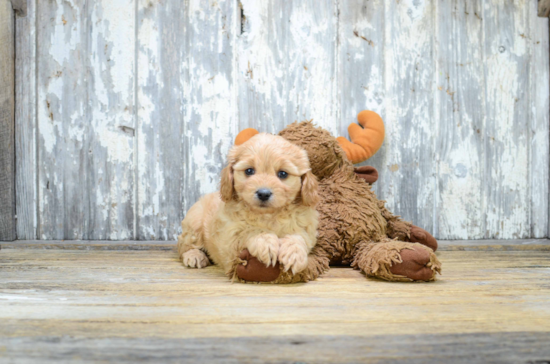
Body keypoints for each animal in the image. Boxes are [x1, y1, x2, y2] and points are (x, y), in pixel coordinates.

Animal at [179, 132, 322, 278]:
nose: (263, 193)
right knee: (183, 246)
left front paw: (294, 253)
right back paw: (195, 256)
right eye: (249, 171)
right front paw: (266, 243)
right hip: (194, 222)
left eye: (283, 173)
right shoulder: (229, 242)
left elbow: (299, 237)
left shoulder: (306, 228)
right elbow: (249, 231)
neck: (268, 215)